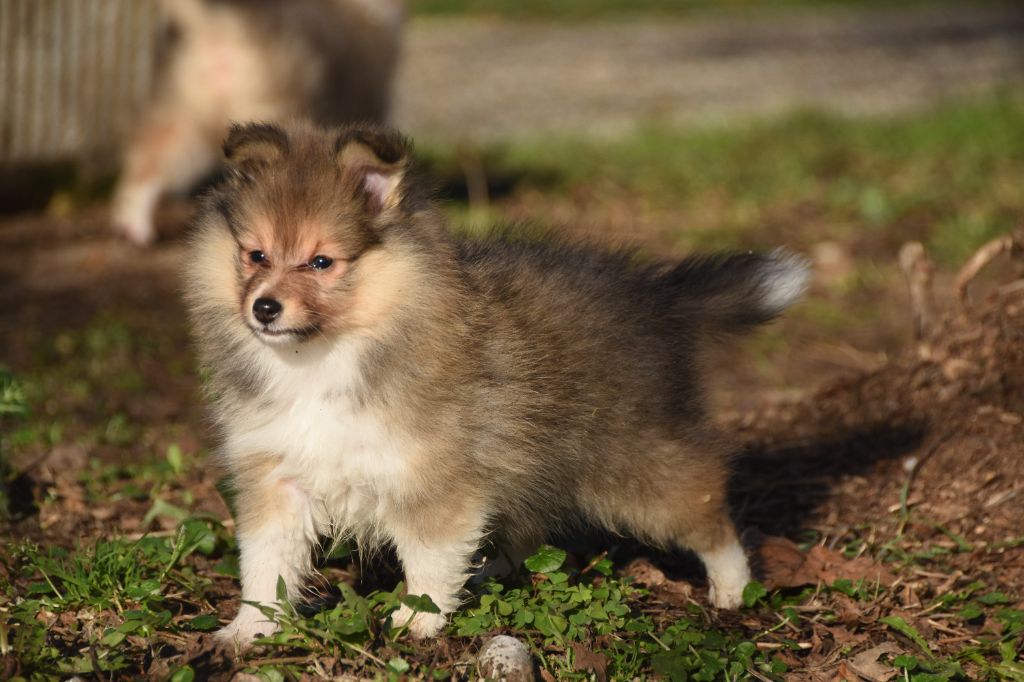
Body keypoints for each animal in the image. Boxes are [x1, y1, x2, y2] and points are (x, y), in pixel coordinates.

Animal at [184, 118, 806, 643]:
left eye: (321, 263)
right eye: (255, 255)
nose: (264, 308)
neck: (326, 357)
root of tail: (658, 298)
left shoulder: (433, 477)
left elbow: (428, 558)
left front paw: (416, 620)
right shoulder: (277, 474)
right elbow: (267, 561)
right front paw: (250, 629)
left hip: (641, 468)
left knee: (709, 511)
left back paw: (733, 589)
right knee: (528, 529)